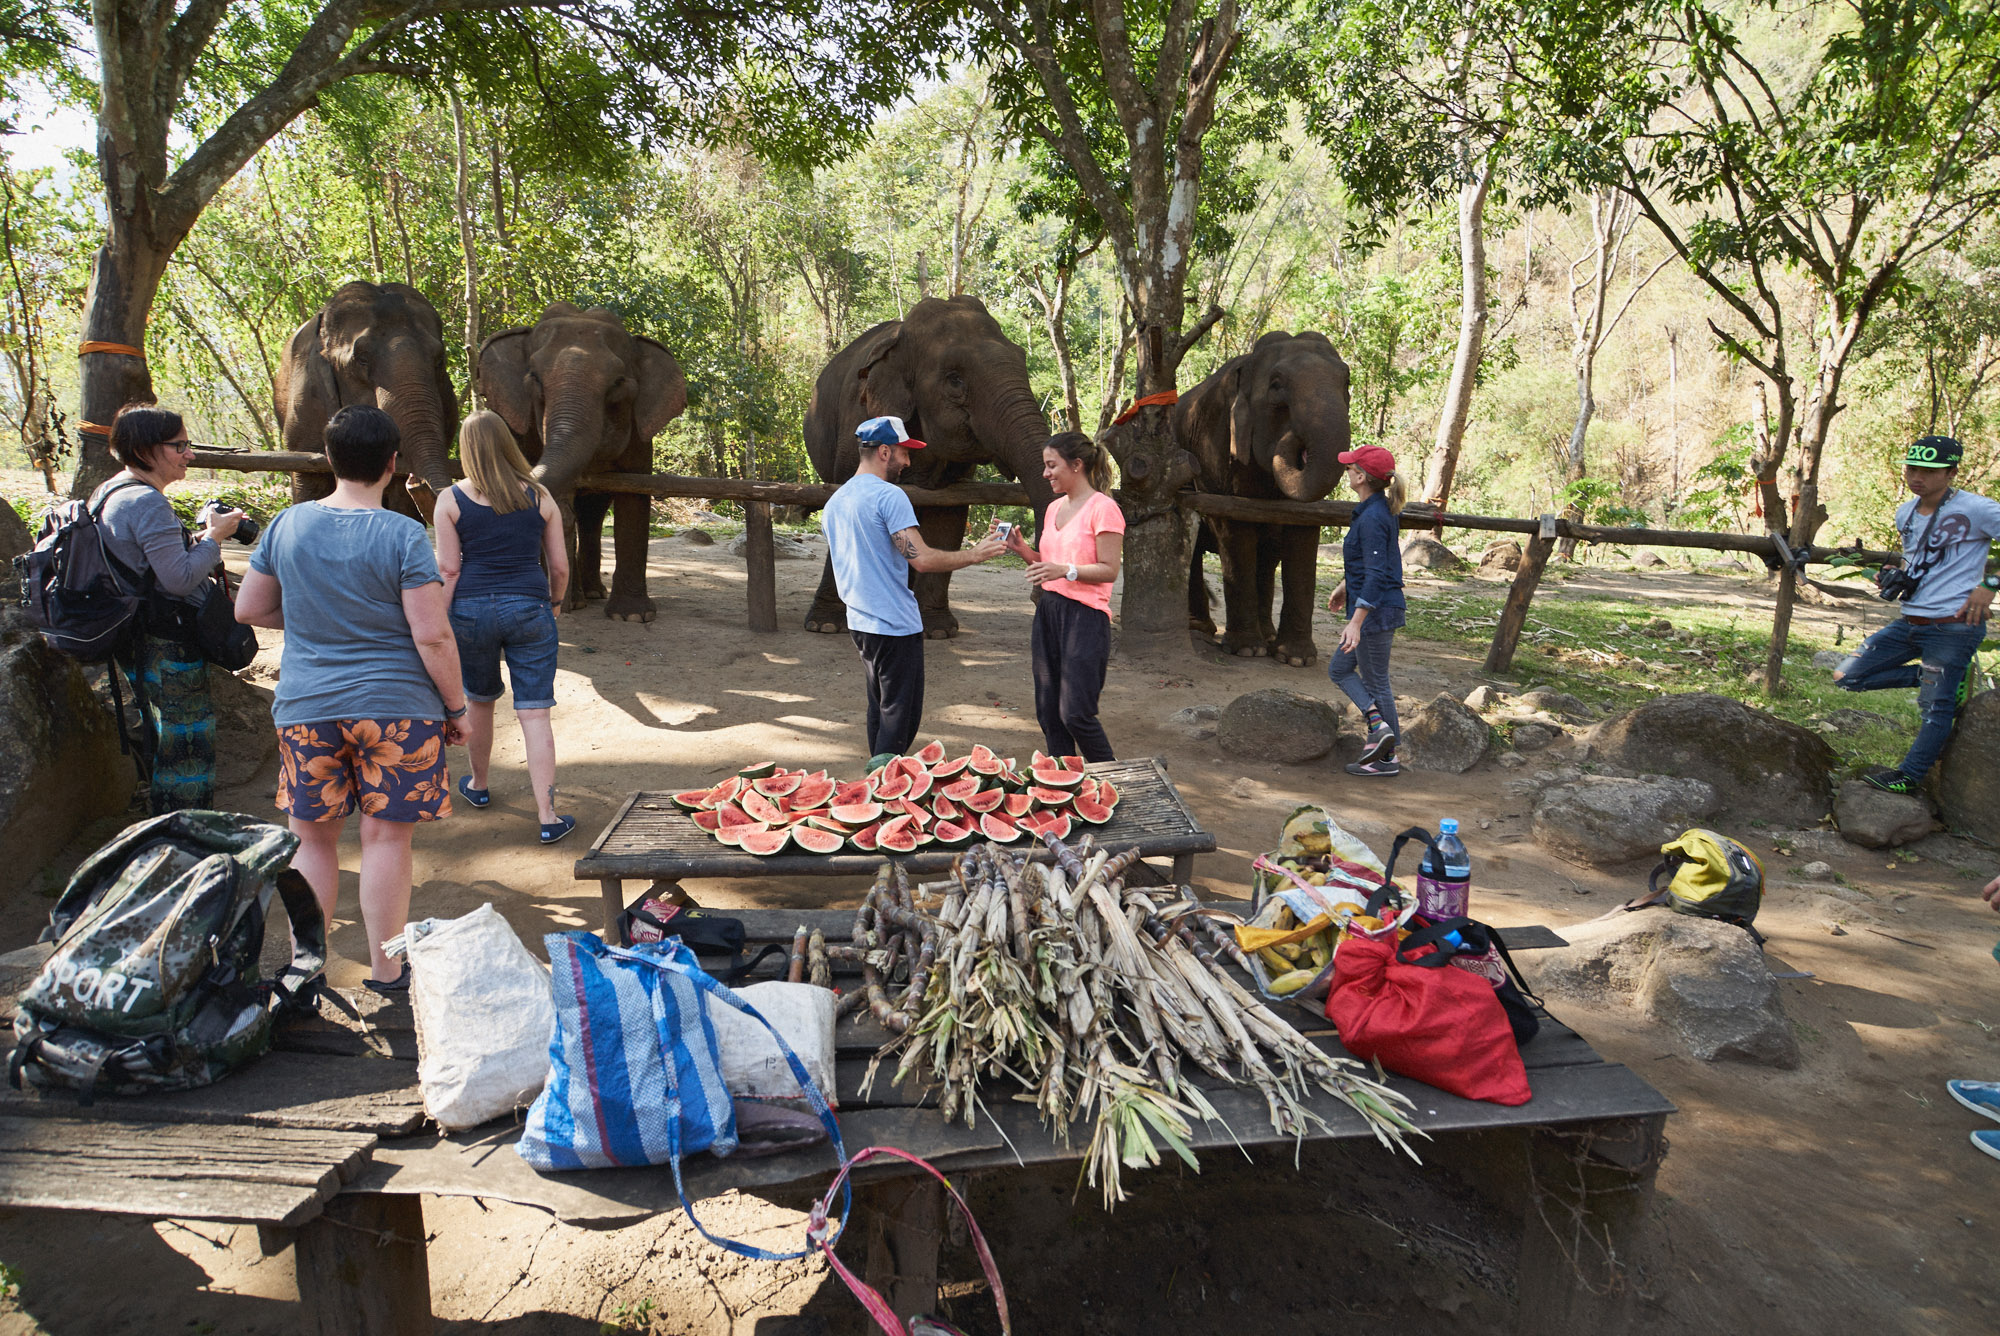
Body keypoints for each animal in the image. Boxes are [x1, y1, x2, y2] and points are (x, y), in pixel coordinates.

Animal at [476, 302, 688, 620]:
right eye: (534, 377)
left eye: (618, 382)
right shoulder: (523, 434)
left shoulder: (641, 437)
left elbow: (634, 496)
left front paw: (632, 616)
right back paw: (577, 599)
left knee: (593, 515)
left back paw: (593, 593)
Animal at [804, 296, 1064, 636]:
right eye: (955, 379)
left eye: (1021, 358)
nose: (1037, 594)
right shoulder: (857, 419)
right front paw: (824, 625)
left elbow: (946, 516)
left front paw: (939, 631)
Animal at [1176, 332, 1352, 664]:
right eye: (1276, 385)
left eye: (1347, 382)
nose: (1293, 438)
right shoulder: (1217, 448)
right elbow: (1235, 529)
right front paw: (1247, 650)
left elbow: (1303, 531)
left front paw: (1296, 659)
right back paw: (1201, 628)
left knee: (1267, 559)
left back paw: (1267, 635)